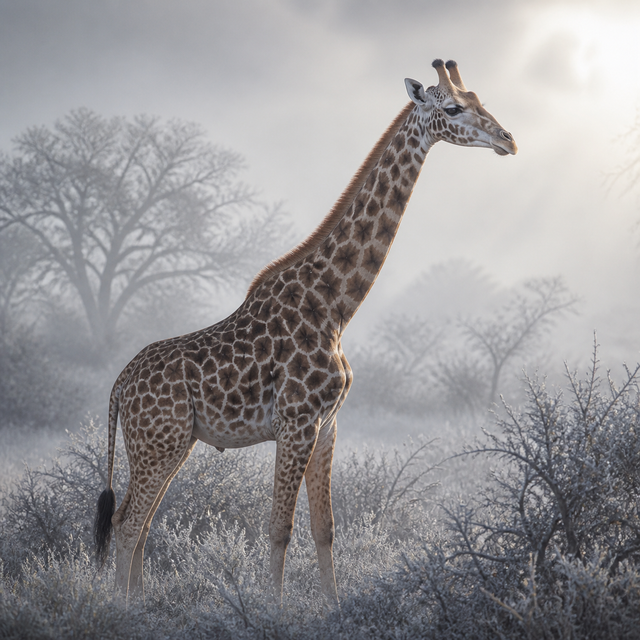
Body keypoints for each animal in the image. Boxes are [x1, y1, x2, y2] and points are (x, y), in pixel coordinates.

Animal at [94, 59, 517, 605]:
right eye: (452, 108)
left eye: (480, 99)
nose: (509, 140)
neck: (336, 307)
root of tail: (119, 385)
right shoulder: (297, 423)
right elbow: (280, 528)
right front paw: (270, 608)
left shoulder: (329, 424)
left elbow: (325, 528)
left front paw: (332, 605)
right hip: (158, 442)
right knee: (128, 524)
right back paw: (122, 607)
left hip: (170, 443)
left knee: (138, 522)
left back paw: (140, 600)